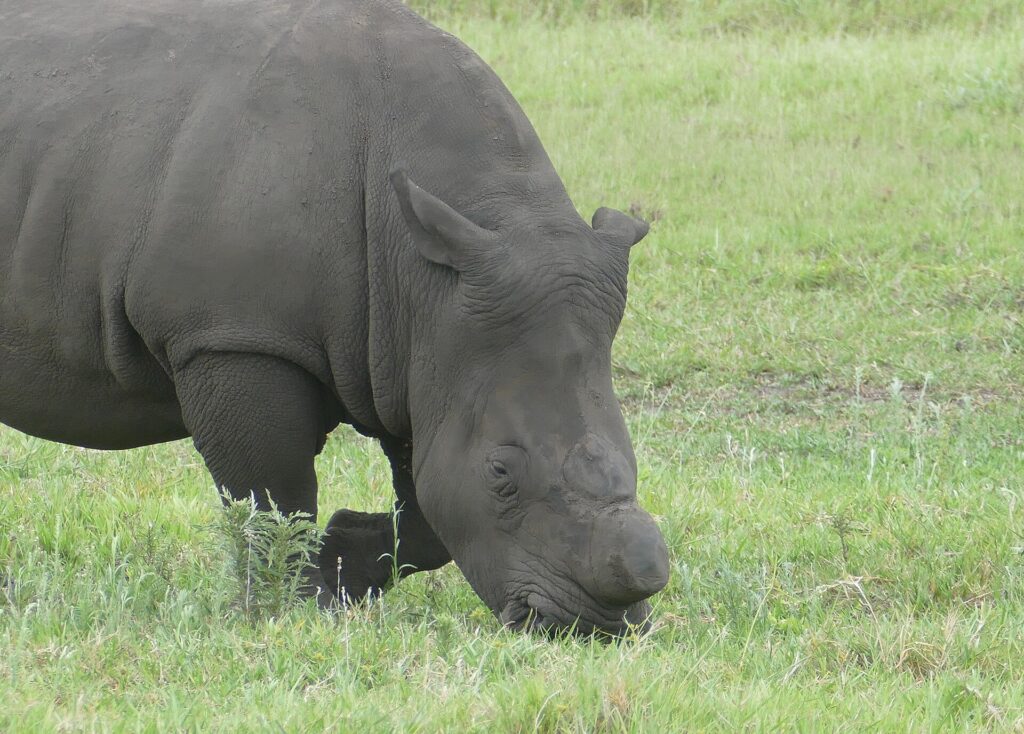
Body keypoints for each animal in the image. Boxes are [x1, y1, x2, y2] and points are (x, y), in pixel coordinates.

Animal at [0, 0, 670, 636]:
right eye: (500, 471)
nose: (594, 627)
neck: (424, 277)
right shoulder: (234, 335)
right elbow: (275, 489)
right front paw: (303, 606)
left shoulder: (421, 348)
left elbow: (425, 500)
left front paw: (343, 563)